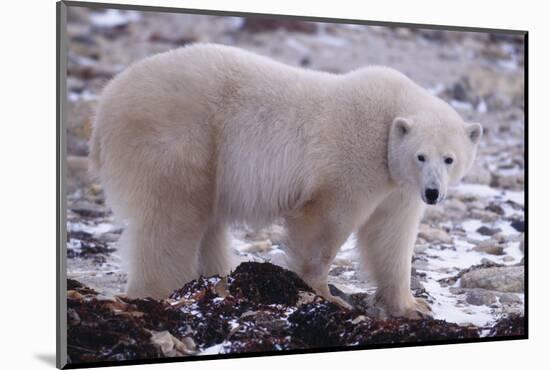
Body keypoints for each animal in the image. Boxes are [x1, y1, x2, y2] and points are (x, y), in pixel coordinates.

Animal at [90, 42, 484, 316]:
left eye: (449, 158)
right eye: (421, 156)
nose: (432, 192)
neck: (389, 117)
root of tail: (106, 100)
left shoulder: (397, 185)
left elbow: (390, 237)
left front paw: (412, 305)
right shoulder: (354, 157)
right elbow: (325, 220)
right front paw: (324, 294)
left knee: (204, 221)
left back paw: (217, 283)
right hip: (179, 135)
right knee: (172, 216)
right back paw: (162, 291)